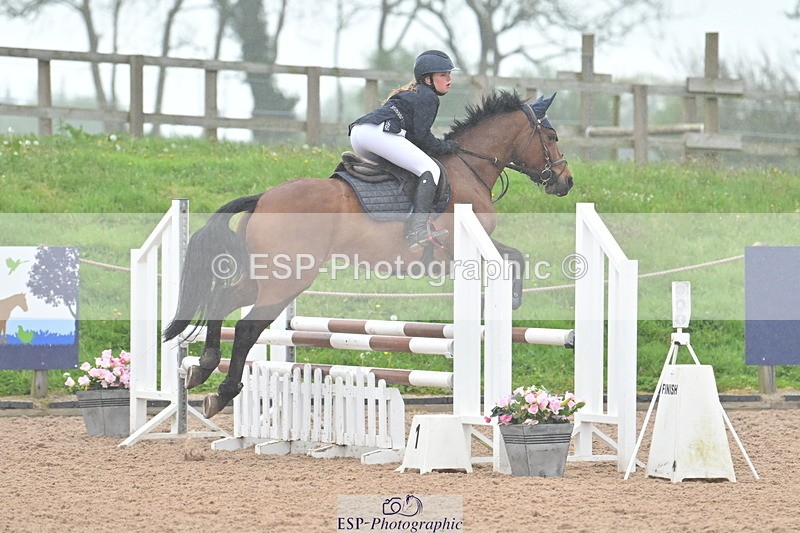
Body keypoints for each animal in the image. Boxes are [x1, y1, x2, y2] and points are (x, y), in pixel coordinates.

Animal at [163, 90, 573, 418]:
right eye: (551, 136)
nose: (565, 181)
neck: (468, 167)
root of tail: (263, 198)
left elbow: (515, 255)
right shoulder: (458, 250)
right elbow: (514, 258)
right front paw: (511, 300)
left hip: (264, 275)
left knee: (223, 298)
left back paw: (203, 367)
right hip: (288, 279)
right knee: (248, 328)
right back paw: (223, 392)